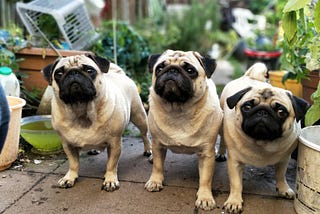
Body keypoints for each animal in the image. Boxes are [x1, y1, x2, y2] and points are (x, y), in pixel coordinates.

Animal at [42, 53, 151, 191]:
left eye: (89, 70)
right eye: (59, 73)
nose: (73, 72)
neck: (81, 111)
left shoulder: (114, 143)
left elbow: (111, 164)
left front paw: (110, 180)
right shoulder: (67, 144)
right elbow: (73, 163)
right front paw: (69, 177)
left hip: (139, 116)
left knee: (144, 135)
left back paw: (148, 150)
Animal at [144, 49, 222, 210]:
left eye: (190, 70)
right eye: (160, 68)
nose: (172, 70)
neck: (179, 110)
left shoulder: (206, 153)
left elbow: (205, 178)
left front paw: (205, 197)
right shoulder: (158, 145)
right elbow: (158, 166)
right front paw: (155, 181)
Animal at [219, 62, 308, 213]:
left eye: (281, 111)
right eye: (247, 107)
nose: (262, 111)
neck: (261, 142)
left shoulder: (284, 159)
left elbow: (281, 176)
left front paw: (283, 189)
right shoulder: (235, 162)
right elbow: (236, 183)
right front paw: (234, 201)